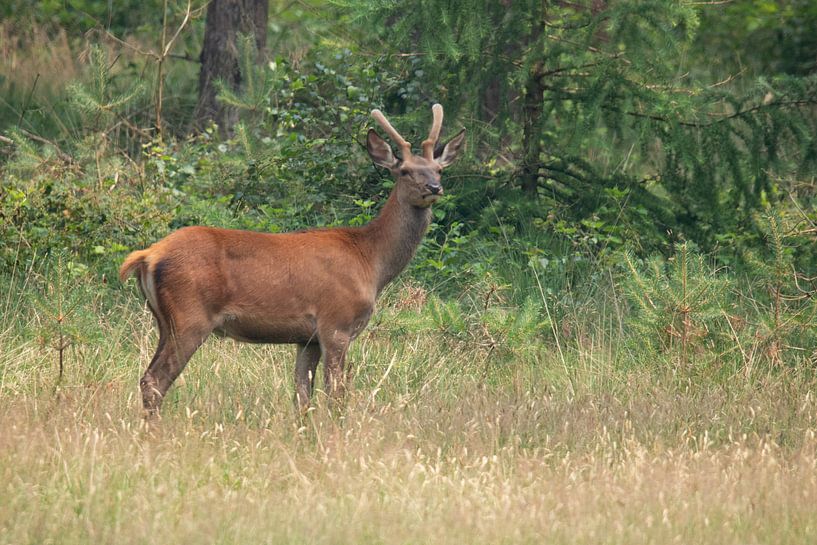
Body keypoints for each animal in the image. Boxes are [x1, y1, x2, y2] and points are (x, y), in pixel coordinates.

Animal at [120, 104, 465, 414]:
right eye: (405, 171)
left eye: (439, 169)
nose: (434, 187)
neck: (371, 261)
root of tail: (148, 255)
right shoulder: (336, 323)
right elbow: (336, 396)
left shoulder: (306, 338)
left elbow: (302, 397)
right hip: (190, 315)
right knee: (155, 380)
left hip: (164, 321)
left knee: (146, 378)